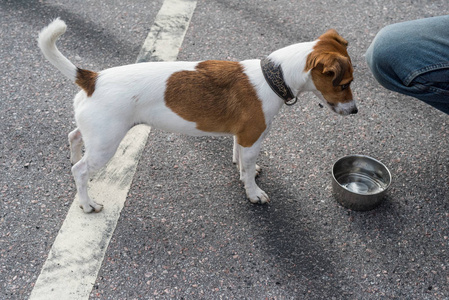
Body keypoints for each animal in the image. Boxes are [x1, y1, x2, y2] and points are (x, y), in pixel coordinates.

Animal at [38, 18, 356, 213]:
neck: (272, 76)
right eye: (343, 84)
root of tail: (92, 78)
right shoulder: (252, 137)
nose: (355, 111)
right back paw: (87, 204)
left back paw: (73, 156)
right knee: (80, 172)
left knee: (74, 136)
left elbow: (240, 158)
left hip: (96, 134)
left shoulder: (242, 137)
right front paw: (253, 191)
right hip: (106, 144)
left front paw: (246, 171)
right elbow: (247, 169)